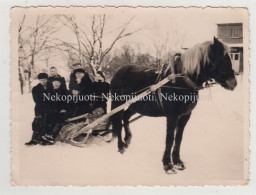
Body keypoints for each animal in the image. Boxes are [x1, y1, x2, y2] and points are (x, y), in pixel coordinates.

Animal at [109, 37, 237, 174]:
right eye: (221, 59)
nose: (233, 83)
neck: (182, 81)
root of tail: (119, 70)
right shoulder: (172, 116)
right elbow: (169, 139)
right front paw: (167, 165)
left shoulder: (185, 115)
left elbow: (178, 138)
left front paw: (177, 162)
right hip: (118, 104)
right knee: (118, 122)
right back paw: (120, 146)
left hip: (135, 106)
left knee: (125, 117)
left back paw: (127, 139)